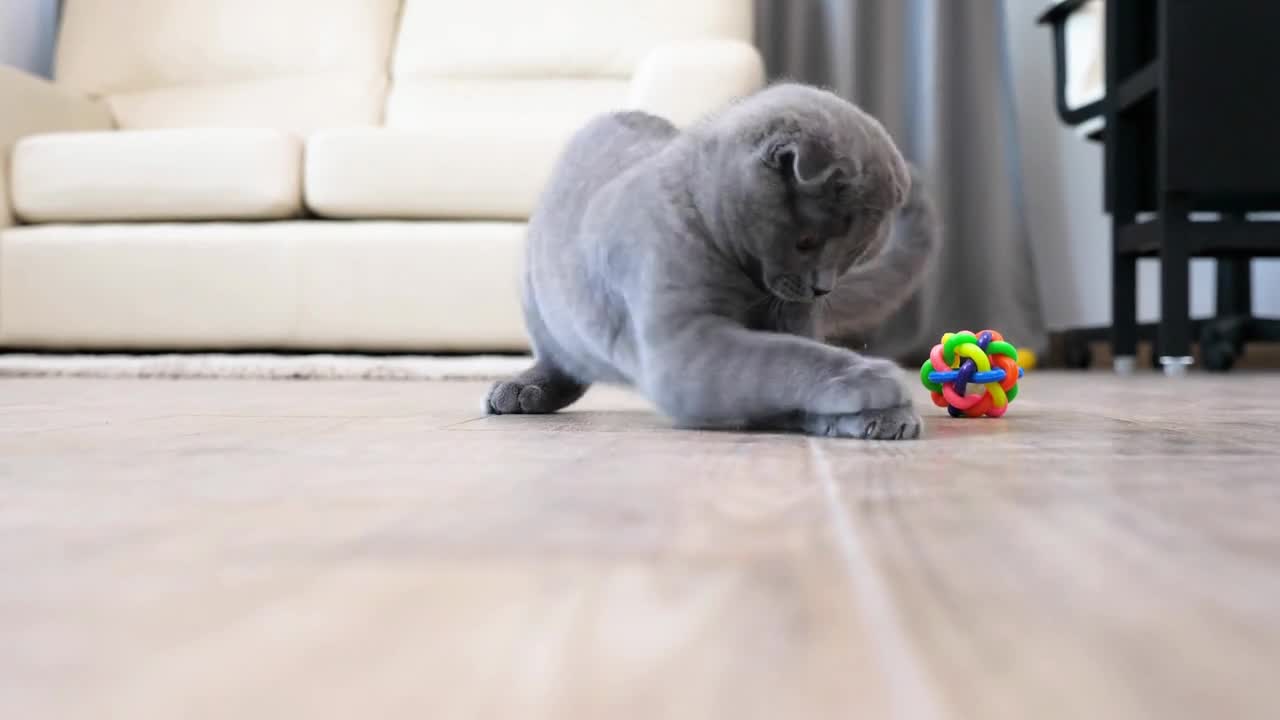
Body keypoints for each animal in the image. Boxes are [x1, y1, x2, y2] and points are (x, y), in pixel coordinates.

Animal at [483, 79, 936, 438]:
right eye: (807, 242)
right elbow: (783, 360)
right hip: (539, 304)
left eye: (853, 256)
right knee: (559, 361)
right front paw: (872, 378)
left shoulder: (789, 323)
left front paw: (884, 415)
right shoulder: (682, 345)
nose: (822, 288)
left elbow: (793, 367)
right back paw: (521, 390)